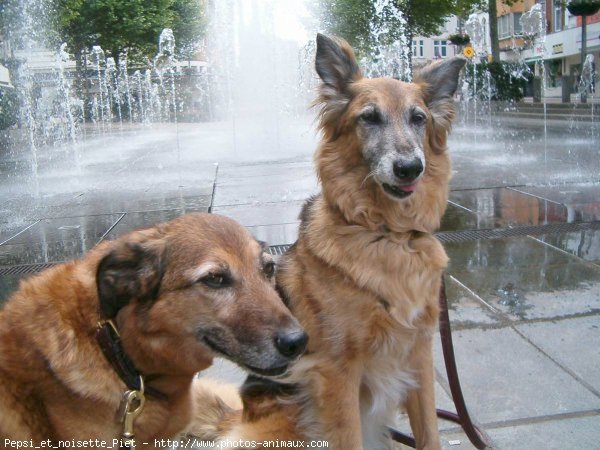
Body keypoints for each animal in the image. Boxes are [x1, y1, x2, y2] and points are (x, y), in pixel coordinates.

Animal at [191, 35, 464, 450]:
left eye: (418, 118)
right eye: (369, 117)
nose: (409, 168)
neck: (387, 233)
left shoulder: (418, 355)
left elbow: (430, 433)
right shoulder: (337, 373)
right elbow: (348, 436)